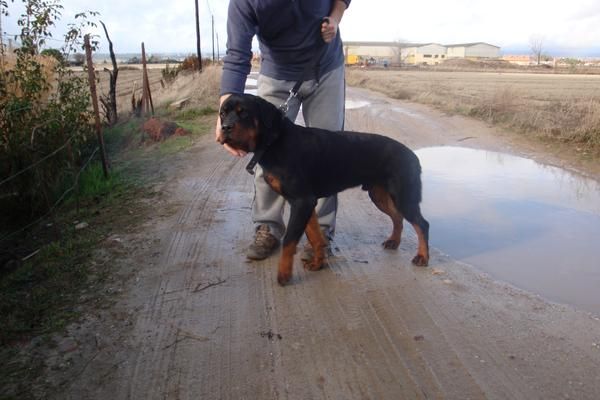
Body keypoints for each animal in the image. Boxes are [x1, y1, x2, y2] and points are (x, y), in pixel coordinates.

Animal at [218, 92, 428, 286]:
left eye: (244, 112)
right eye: (222, 113)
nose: (225, 127)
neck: (274, 141)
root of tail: (413, 156)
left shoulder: (302, 201)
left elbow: (290, 240)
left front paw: (284, 275)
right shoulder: (305, 203)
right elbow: (315, 237)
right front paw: (317, 264)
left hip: (404, 195)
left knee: (421, 224)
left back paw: (422, 257)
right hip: (380, 195)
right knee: (397, 217)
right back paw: (394, 241)